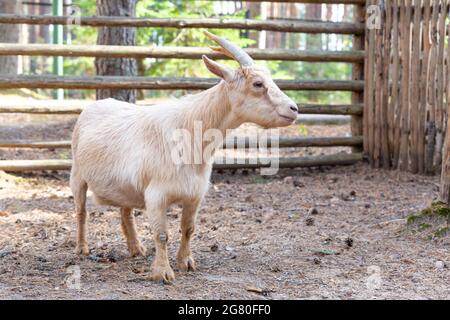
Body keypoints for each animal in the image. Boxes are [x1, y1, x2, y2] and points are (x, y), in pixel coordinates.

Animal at [71, 31, 298, 282]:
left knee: (125, 212)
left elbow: (188, 229)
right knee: (81, 211)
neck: (190, 135)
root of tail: (93, 106)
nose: (294, 109)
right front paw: (162, 273)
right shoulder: (156, 195)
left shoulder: (195, 194)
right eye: (258, 84)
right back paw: (82, 248)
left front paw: (186, 262)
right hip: (77, 175)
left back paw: (136, 248)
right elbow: (161, 234)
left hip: (125, 186)